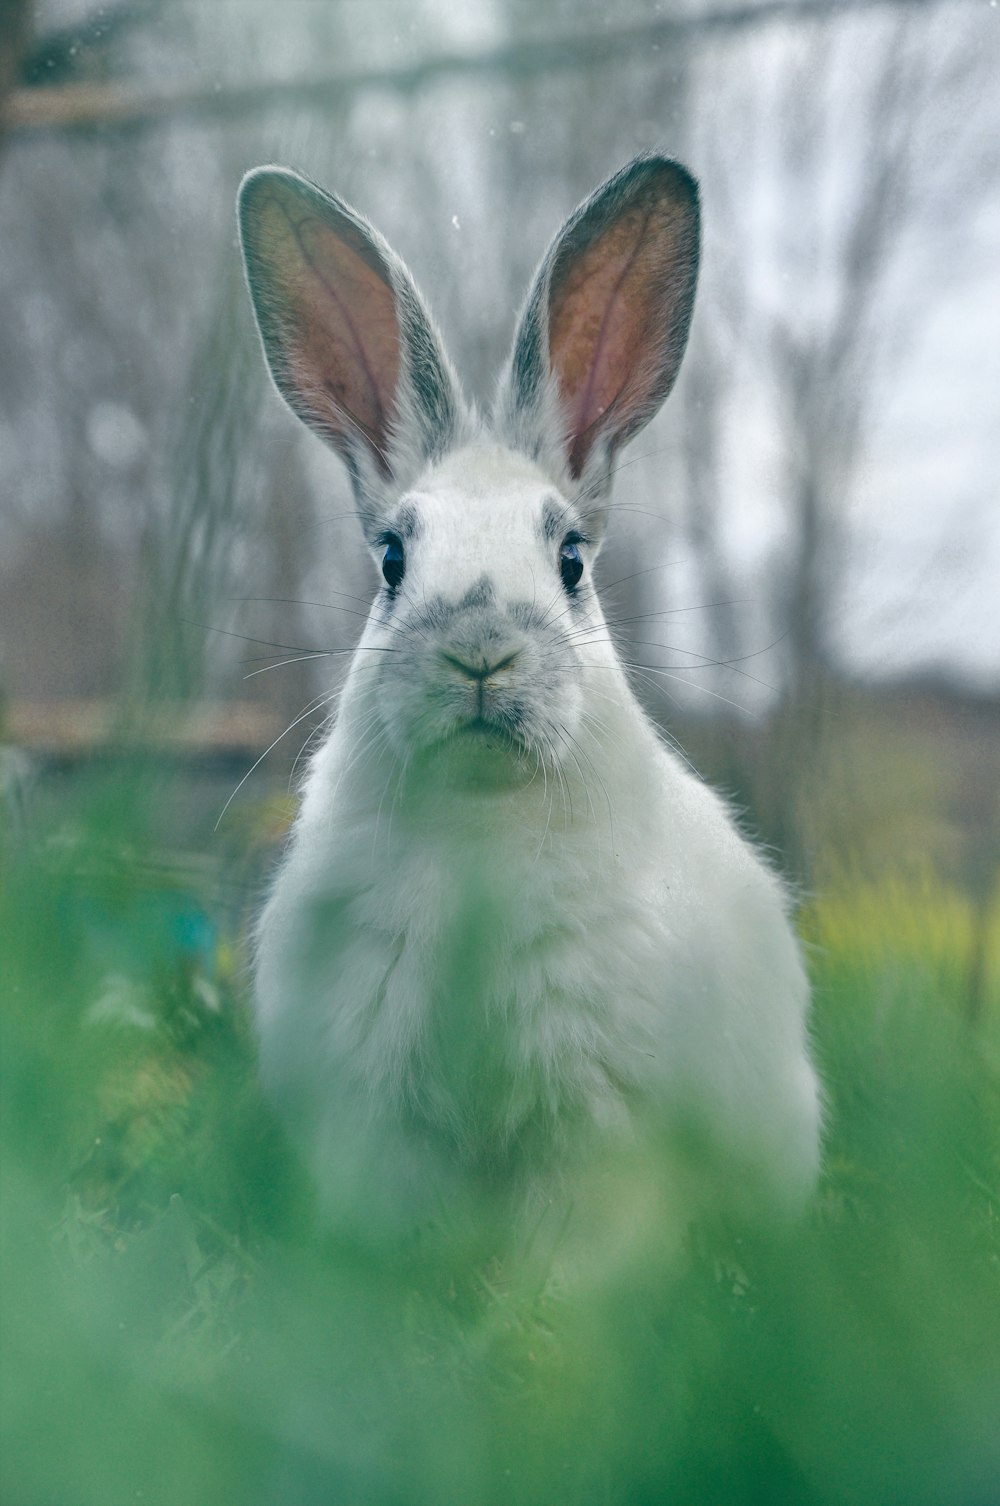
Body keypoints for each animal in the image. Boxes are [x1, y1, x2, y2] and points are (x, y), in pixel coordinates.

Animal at [236, 155, 819, 1234]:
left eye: (571, 561)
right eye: (391, 560)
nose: (480, 654)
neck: (480, 819)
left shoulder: (599, 1125)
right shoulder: (374, 1112)